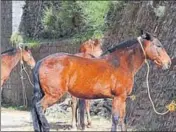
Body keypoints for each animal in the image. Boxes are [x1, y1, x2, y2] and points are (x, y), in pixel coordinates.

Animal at [31, 30, 170, 131]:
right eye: (159, 46)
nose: (168, 63)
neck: (121, 63)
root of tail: (41, 61)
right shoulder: (118, 97)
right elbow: (115, 119)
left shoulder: (123, 98)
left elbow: (122, 119)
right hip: (53, 95)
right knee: (39, 107)